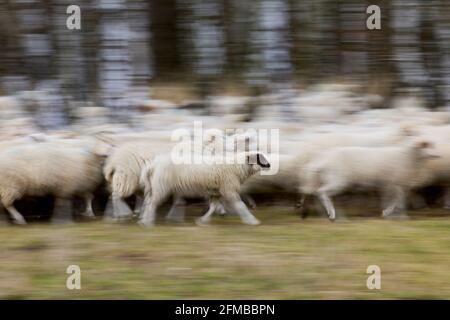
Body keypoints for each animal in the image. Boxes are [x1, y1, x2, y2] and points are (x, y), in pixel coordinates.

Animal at [139, 151, 268, 228]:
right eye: (259, 158)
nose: (269, 165)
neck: (236, 167)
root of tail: (153, 165)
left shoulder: (217, 192)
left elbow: (213, 207)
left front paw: (202, 221)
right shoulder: (229, 189)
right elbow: (241, 206)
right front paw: (252, 221)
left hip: (153, 186)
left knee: (148, 202)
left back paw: (143, 220)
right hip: (161, 187)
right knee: (152, 204)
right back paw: (148, 223)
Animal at [300, 140, 438, 220]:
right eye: (425, 145)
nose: (437, 155)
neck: (407, 157)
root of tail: (321, 160)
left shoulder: (393, 184)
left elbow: (394, 200)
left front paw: (386, 213)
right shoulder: (396, 183)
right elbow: (398, 200)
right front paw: (400, 215)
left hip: (324, 179)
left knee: (315, 193)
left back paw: (321, 214)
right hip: (337, 180)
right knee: (322, 192)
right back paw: (332, 214)